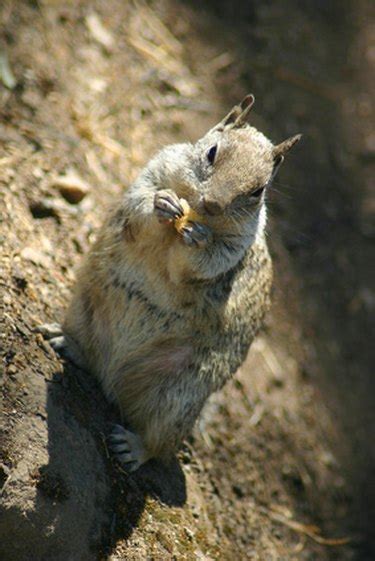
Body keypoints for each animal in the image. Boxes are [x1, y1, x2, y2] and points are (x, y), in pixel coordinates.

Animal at [39, 95, 302, 468]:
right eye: (211, 152)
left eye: (257, 191)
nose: (212, 203)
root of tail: (111, 379)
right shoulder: (155, 169)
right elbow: (141, 202)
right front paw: (160, 204)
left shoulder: (233, 247)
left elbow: (199, 263)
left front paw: (198, 238)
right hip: (82, 309)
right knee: (90, 357)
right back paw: (66, 342)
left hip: (177, 400)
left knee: (160, 446)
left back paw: (132, 447)